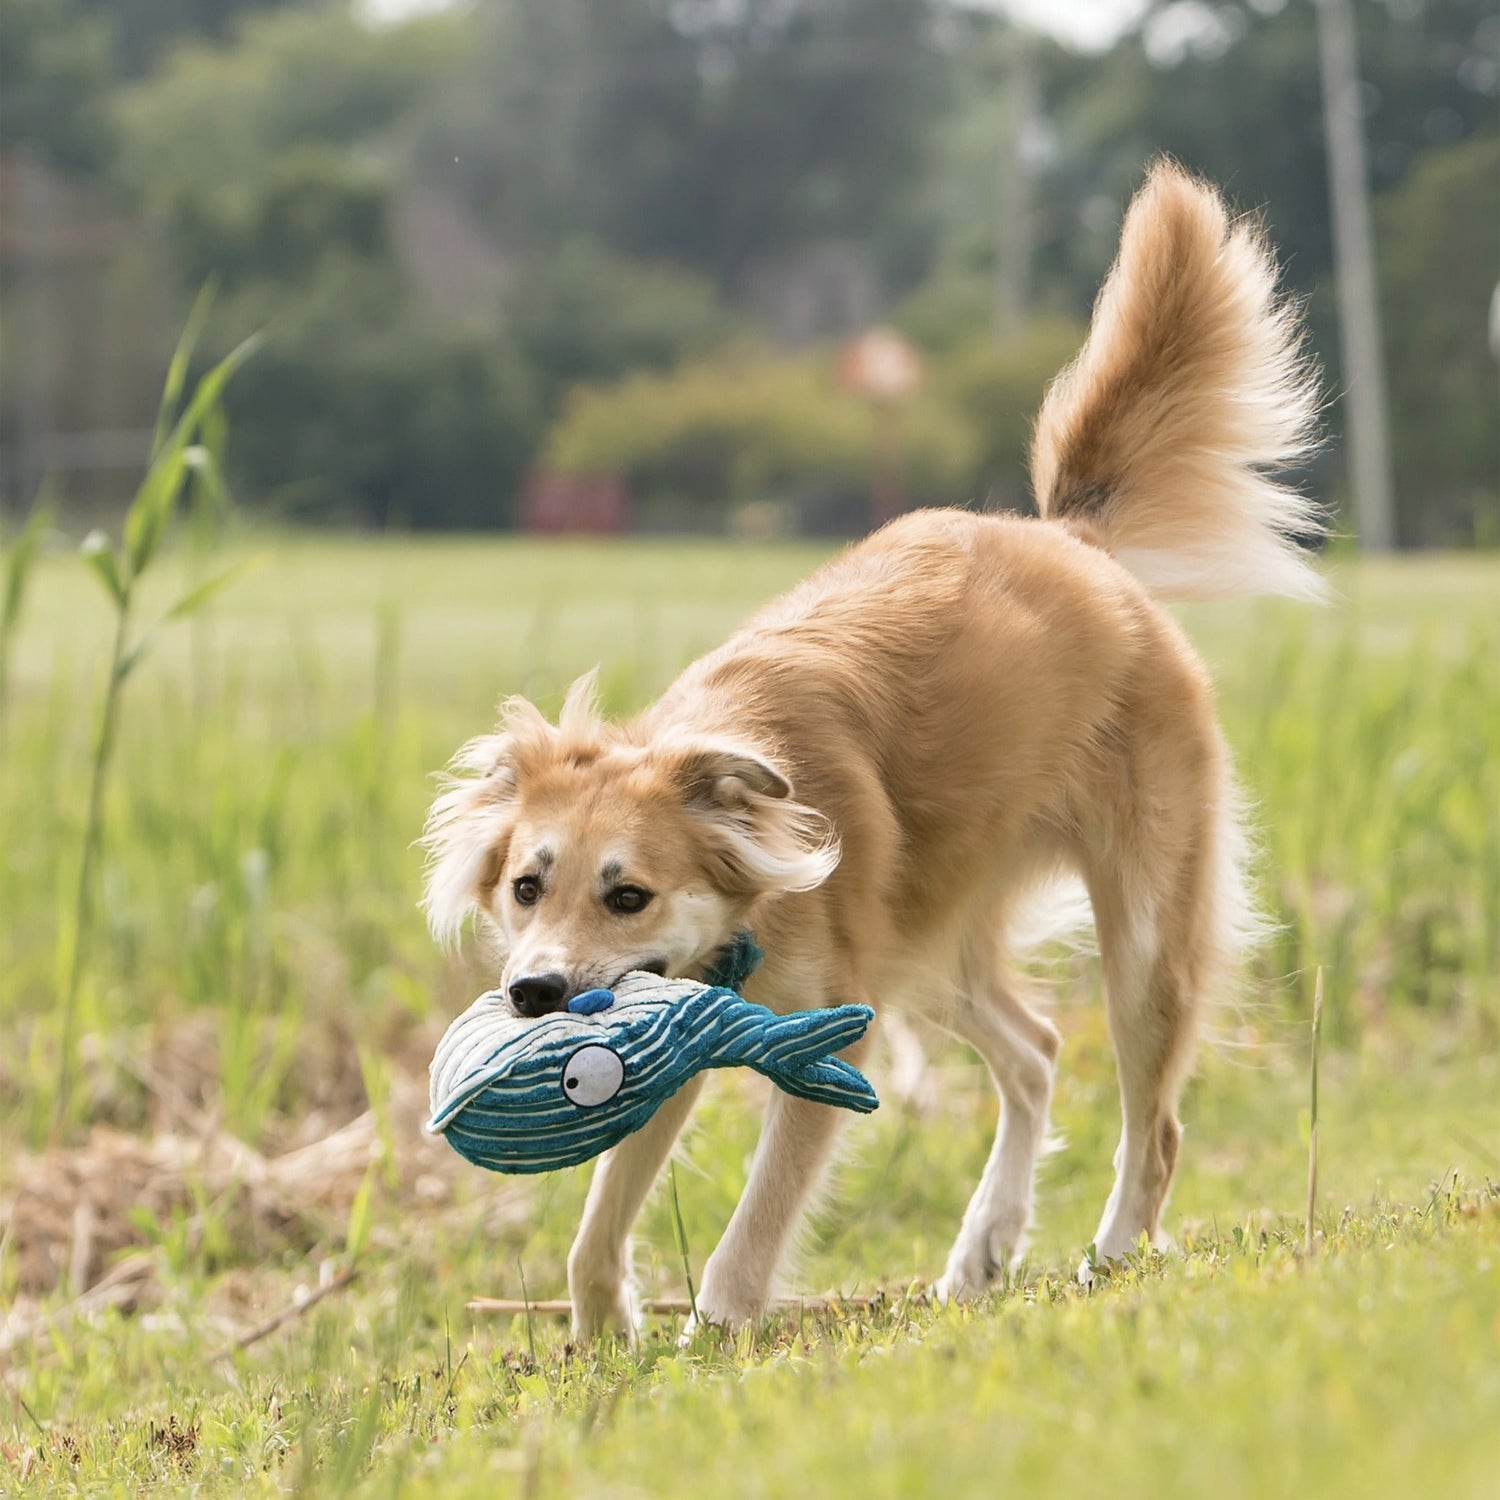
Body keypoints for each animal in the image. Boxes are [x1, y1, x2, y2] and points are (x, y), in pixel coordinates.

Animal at [423, 164, 1326, 1338]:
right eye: (526, 886)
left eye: (628, 896)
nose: (533, 995)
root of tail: (1074, 545)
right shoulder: (674, 1032)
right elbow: (596, 1224)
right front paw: (602, 1331)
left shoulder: (826, 1036)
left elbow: (755, 1224)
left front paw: (717, 1327)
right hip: (925, 945)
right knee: (1035, 1053)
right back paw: (985, 1245)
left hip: (1137, 938)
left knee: (1153, 1124)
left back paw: (1115, 1250)